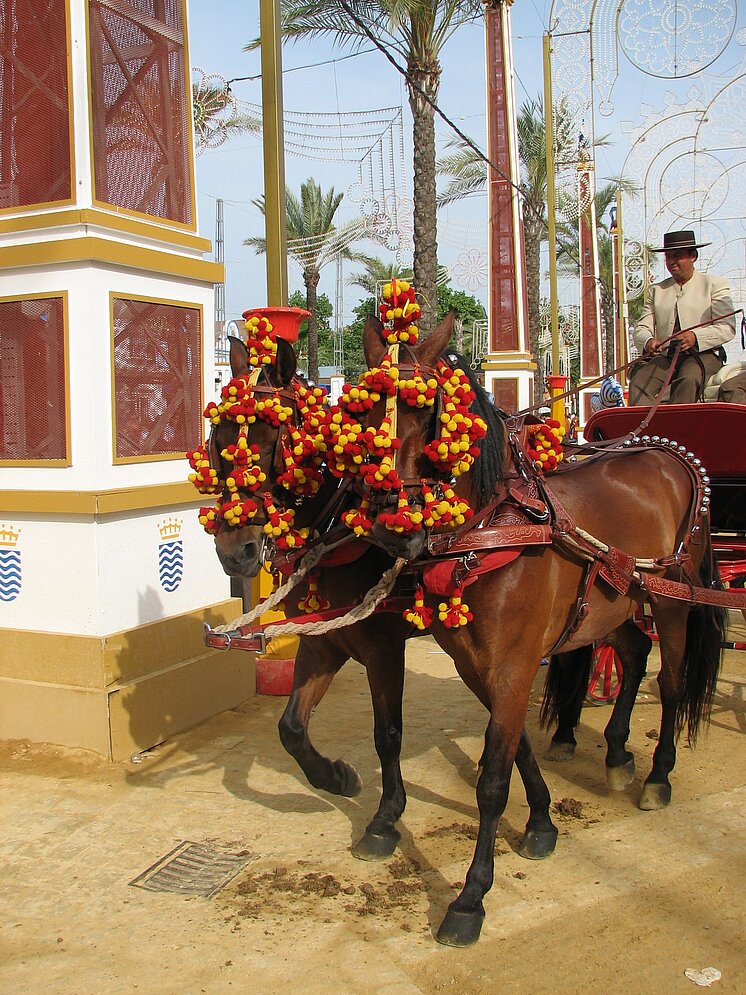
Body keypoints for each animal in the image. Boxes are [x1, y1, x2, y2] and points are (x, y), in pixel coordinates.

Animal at [203, 334, 560, 864]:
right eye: (217, 440)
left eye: (273, 442)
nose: (235, 551)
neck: (340, 527)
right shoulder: (324, 640)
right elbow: (291, 727)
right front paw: (333, 777)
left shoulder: (382, 646)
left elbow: (388, 734)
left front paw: (385, 818)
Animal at [358, 316, 724, 944]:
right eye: (359, 412)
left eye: (430, 413)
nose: (390, 522)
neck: (492, 527)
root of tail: (668, 452)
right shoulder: (478, 664)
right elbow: (516, 748)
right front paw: (542, 822)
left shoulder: (514, 663)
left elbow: (490, 781)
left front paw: (471, 898)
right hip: (614, 601)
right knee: (632, 654)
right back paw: (618, 752)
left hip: (672, 599)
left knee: (672, 682)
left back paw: (658, 776)